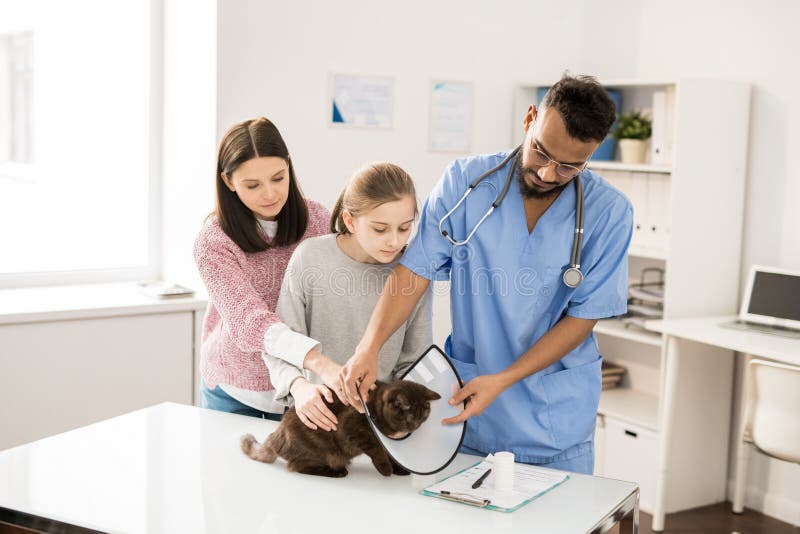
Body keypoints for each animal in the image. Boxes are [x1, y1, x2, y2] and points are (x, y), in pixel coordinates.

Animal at [241, 384, 440, 480]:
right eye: (409, 415)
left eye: (424, 415)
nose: (415, 426)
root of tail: (277, 433)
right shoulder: (355, 429)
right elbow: (377, 451)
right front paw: (386, 469)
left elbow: (391, 455)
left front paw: (398, 469)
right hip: (322, 450)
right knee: (296, 466)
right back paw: (337, 472)